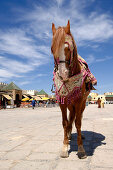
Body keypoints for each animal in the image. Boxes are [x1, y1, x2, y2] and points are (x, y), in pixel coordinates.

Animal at [51, 20, 96, 159]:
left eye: (68, 48)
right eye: (52, 49)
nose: (63, 73)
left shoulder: (79, 101)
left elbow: (78, 122)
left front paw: (81, 149)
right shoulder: (62, 101)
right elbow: (65, 122)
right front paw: (65, 146)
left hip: (82, 103)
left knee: (78, 117)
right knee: (71, 118)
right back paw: (70, 134)